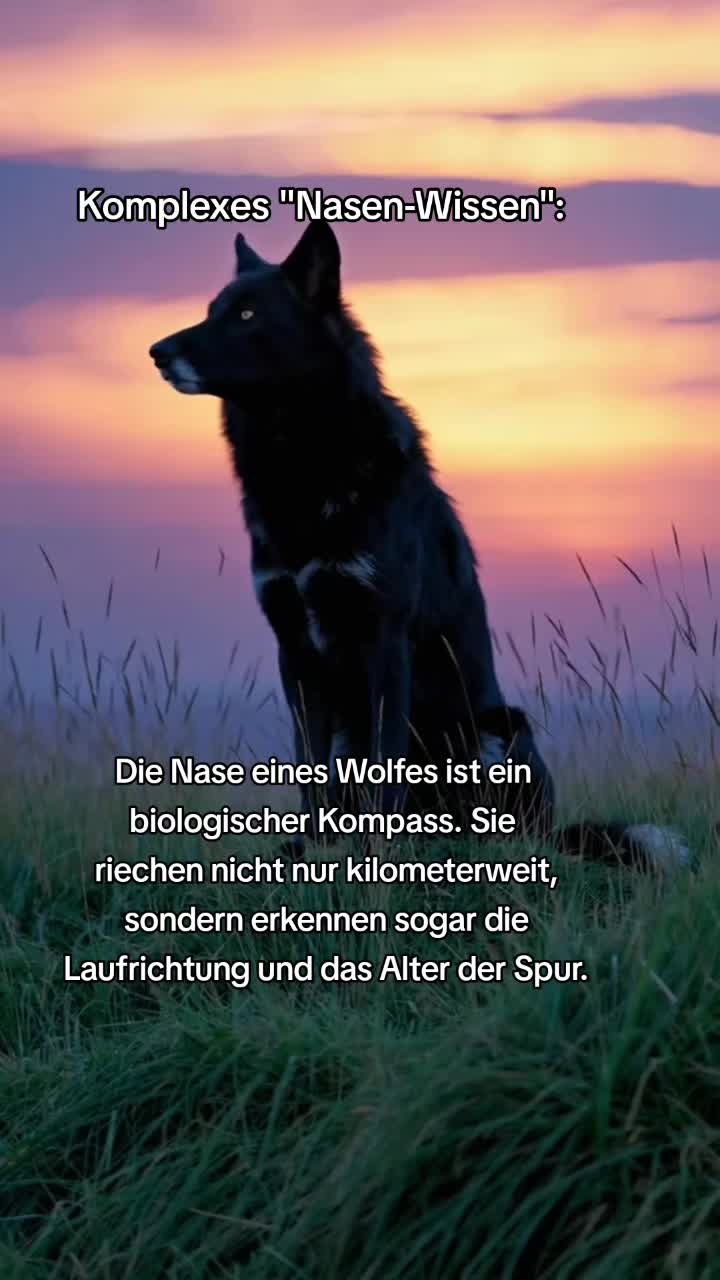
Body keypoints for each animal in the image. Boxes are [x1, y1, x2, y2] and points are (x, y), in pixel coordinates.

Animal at [150, 219, 688, 871]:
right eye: (212, 310)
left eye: (248, 313)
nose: (156, 353)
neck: (304, 463)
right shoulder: (295, 650)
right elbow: (311, 770)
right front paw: (314, 849)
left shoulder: (383, 636)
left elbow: (385, 766)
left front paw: (375, 851)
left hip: (497, 730)